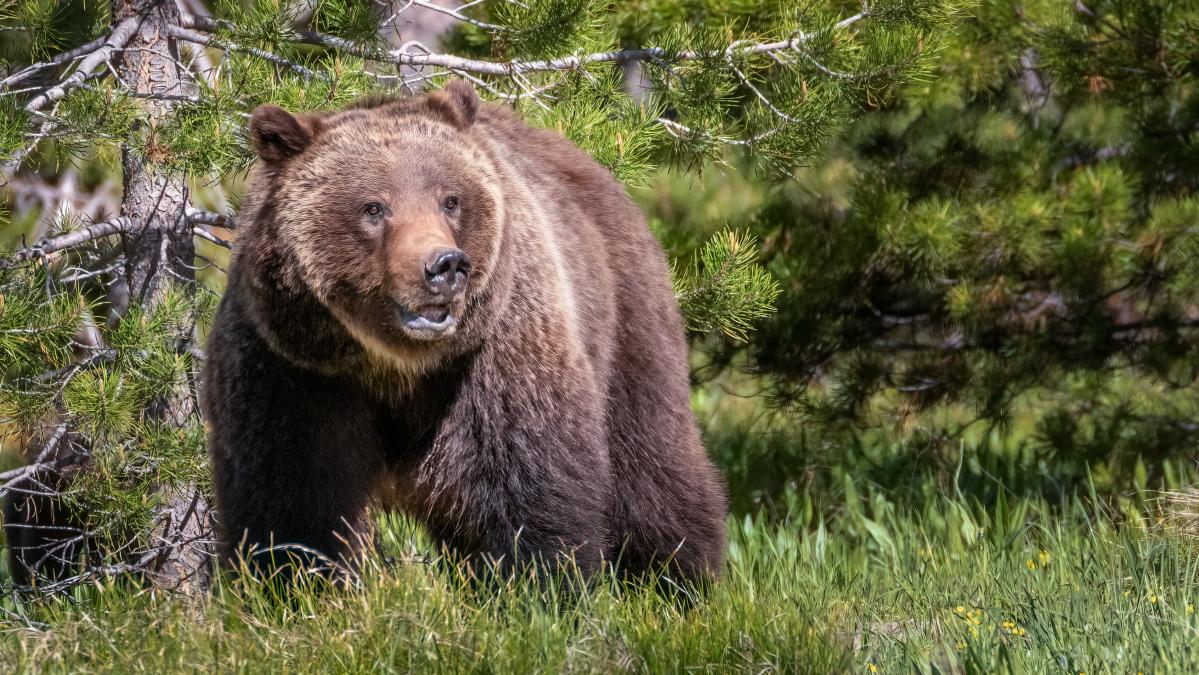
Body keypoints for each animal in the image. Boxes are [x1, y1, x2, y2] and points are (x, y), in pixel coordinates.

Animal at [201, 82, 724, 582]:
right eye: (374, 207)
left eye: (450, 199)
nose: (444, 265)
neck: (392, 364)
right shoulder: (292, 365)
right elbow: (291, 499)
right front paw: (291, 581)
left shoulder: (496, 355)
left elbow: (527, 487)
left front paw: (538, 585)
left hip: (625, 319)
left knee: (651, 468)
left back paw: (678, 579)